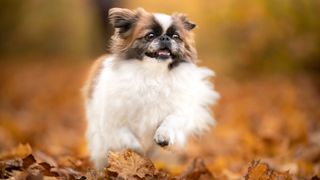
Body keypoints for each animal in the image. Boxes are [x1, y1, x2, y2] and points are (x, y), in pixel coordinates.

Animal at [82, 7, 220, 170]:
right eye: (150, 35)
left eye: (176, 36)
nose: (165, 38)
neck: (154, 74)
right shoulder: (114, 121)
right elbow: (129, 140)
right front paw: (138, 153)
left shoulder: (179, 110)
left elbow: (171, 120)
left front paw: (163, 135)